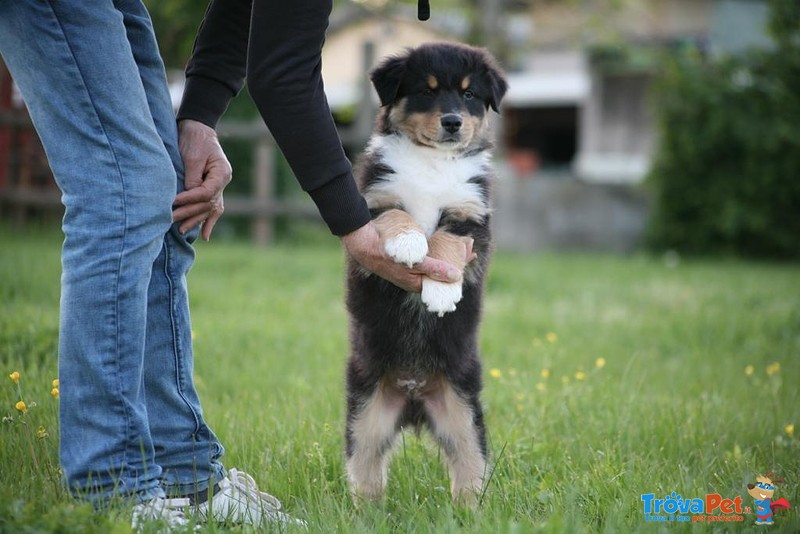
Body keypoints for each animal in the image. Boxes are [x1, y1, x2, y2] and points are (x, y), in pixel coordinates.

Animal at [344, 40, 506, 506]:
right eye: (426, 91)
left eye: (469, 94)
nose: (452, 122)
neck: (432, 162)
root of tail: (414, 397)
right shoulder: (374, 198)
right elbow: (398, 214)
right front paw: (408, 244)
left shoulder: (473, 217)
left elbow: (447, 242)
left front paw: (441, 290)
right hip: (366, 413)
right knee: (365, 470)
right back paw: (363, 513)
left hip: (464, 413)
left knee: (469, 468)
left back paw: (471, 511)